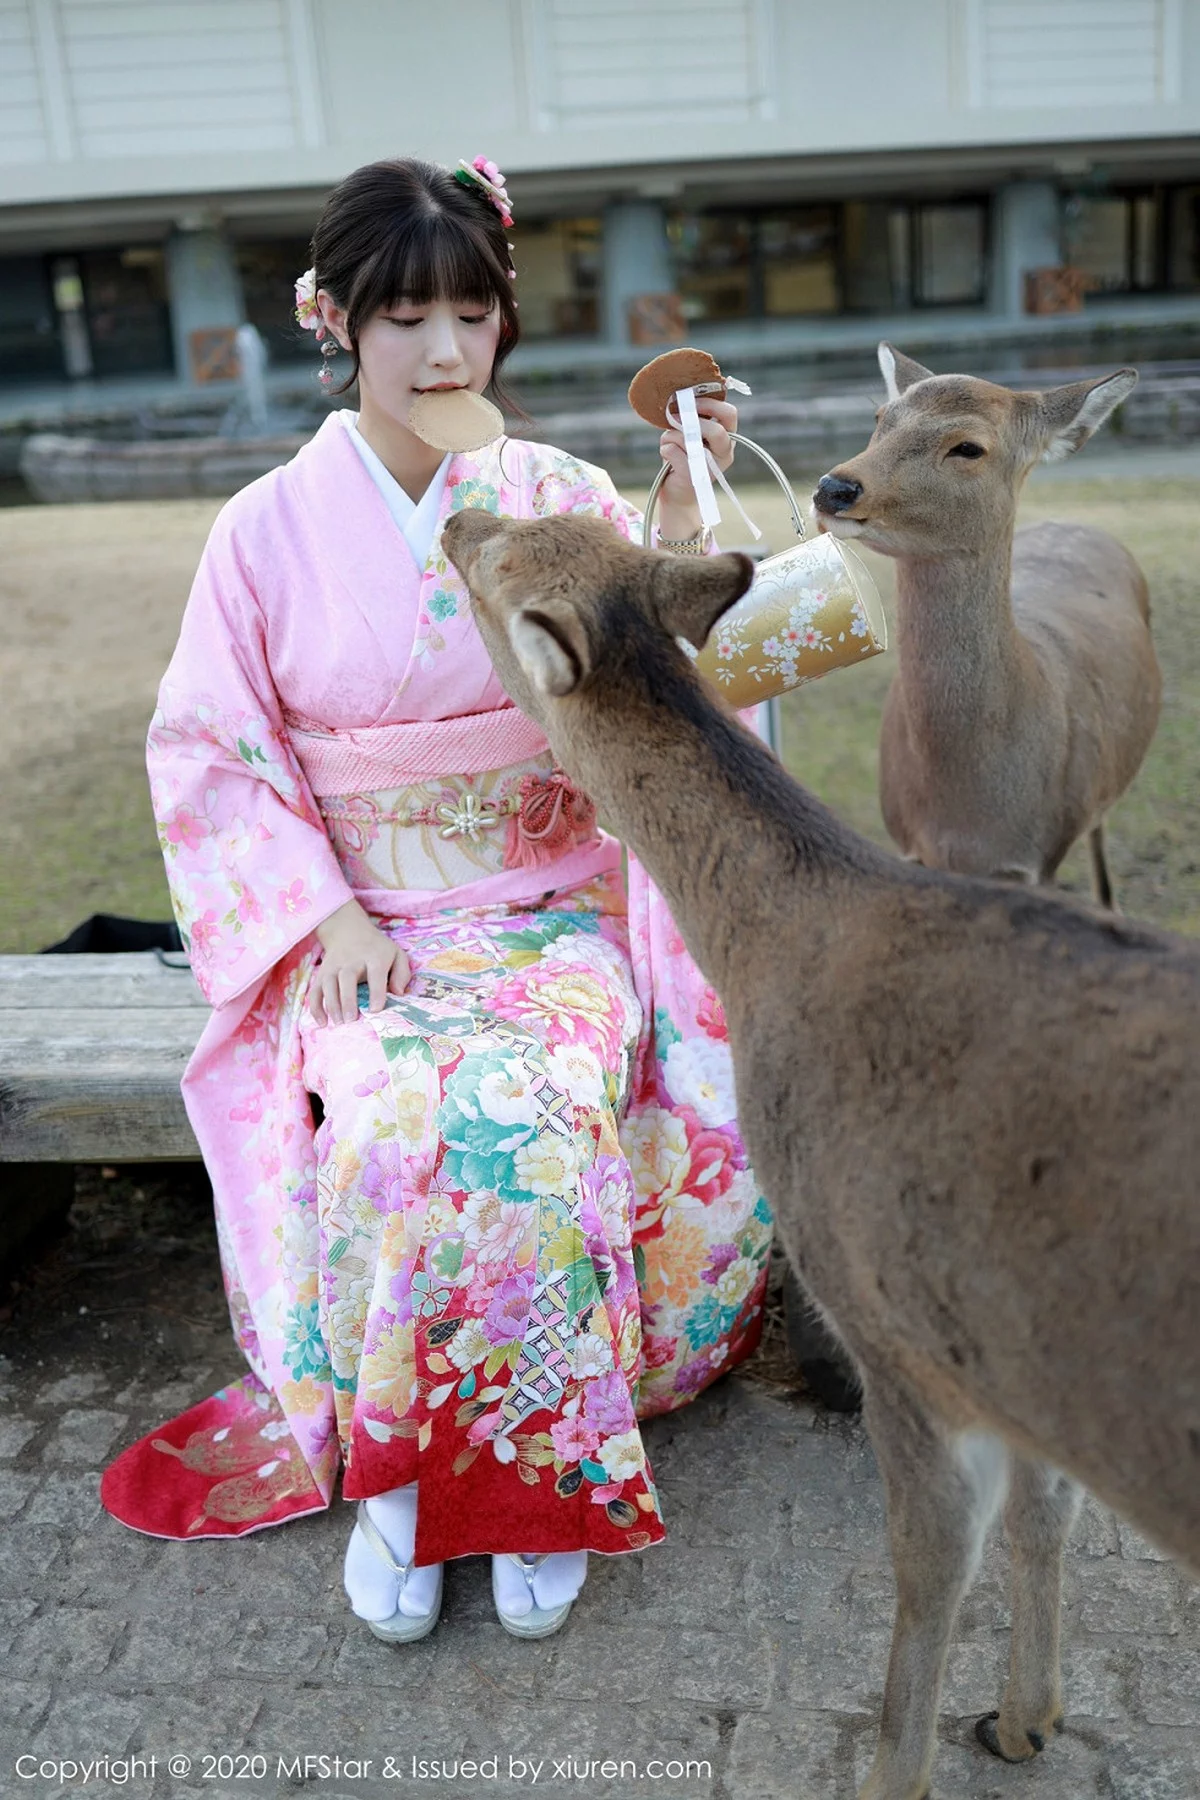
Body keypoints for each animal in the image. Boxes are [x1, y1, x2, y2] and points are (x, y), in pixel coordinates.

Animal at [440, 504, 1200, 1800]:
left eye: (499, 567)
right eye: (556, 527)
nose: (453, 514)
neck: (777, 947)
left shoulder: (894, 1325)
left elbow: (927, 1575)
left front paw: (907, 1765)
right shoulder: (1009, 1347)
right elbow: (1049, 1515)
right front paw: (1026, 1719)